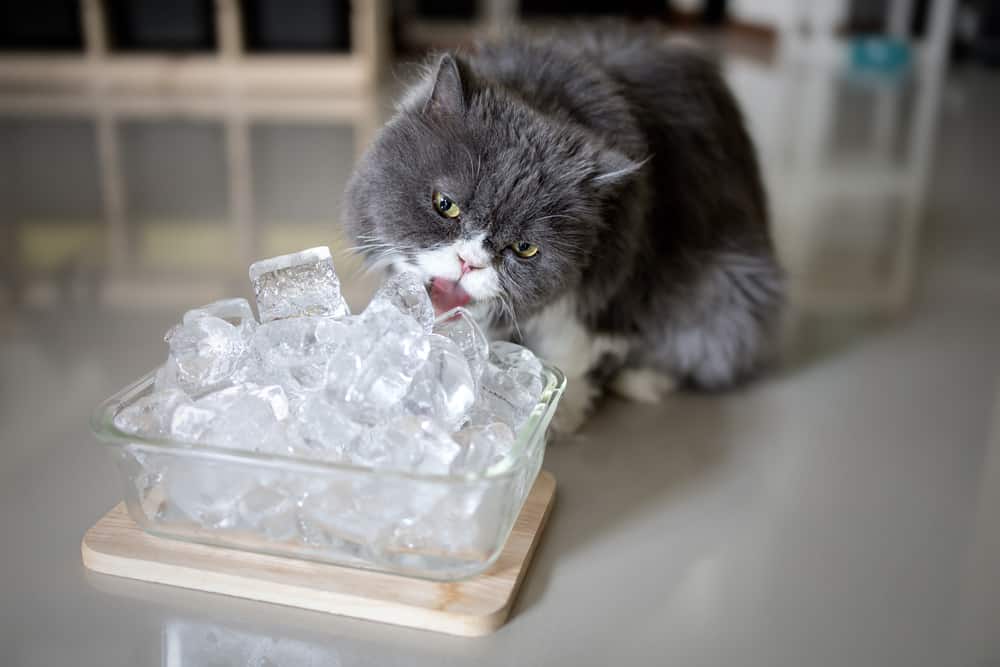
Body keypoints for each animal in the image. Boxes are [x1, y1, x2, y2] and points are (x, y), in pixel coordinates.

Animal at [344, 26, 780, 434]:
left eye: (525, 248)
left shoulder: (605, 289)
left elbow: (567, 348)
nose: (470, 262)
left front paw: (553, 418)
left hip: (732, 293)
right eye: (445, 205)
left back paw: (641, 381)